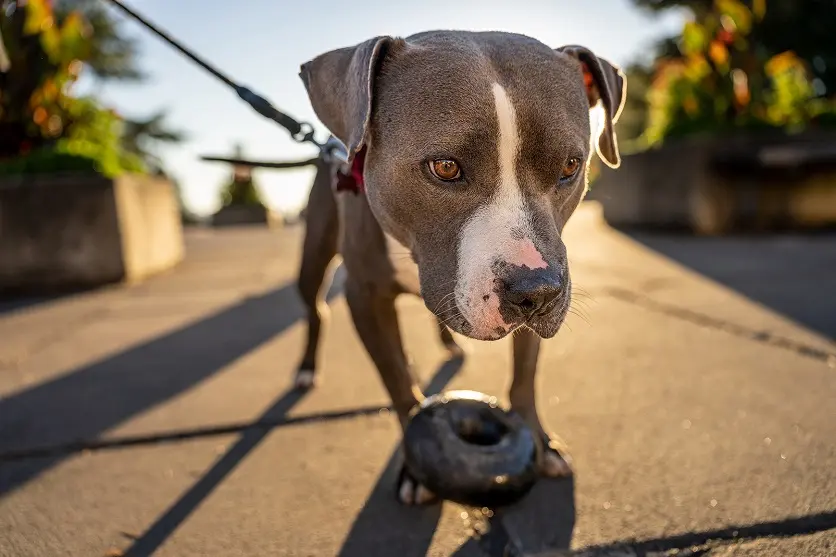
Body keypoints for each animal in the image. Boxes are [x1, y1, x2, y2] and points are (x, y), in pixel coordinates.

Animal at [290, 30, 624, 504]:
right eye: (445, 167)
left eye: (570, 166)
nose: (537, 292)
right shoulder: (364, 296)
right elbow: (397, 379)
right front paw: (417, 466)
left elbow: (525, 374)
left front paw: (540, 442)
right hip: (314, 254)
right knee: (316, 308)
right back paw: (305, 368)